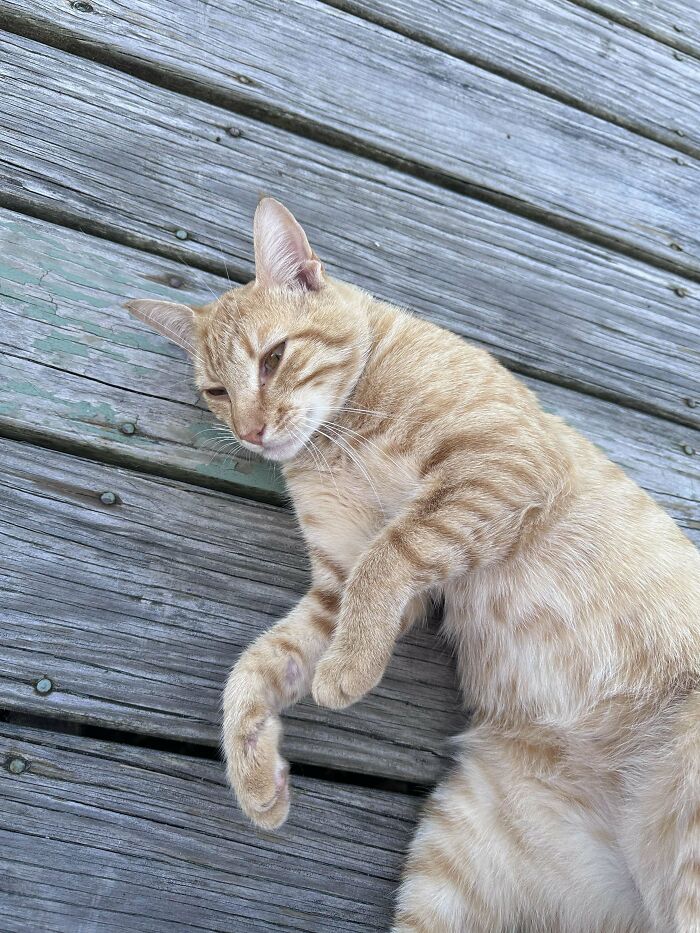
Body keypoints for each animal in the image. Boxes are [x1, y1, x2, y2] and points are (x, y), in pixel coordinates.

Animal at [130, 198, 700, 932]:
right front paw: (255, 770)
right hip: (454, 861)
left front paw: (343, 674)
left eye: (274, 357)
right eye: (216, 390)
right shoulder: (337, 586)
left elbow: (390, 549)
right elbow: (256, 667)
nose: (251, 433)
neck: (340, 434)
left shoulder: (499, 466)